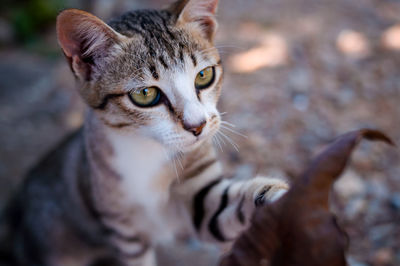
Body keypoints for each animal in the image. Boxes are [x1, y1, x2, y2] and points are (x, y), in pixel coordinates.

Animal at [0, 0, 288, 266]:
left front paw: (283, 197)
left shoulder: (203, 201)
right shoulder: (124, 229)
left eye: (204, 76)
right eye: (145, 94)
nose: (197, 126)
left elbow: (231, 206)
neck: (147, 148)